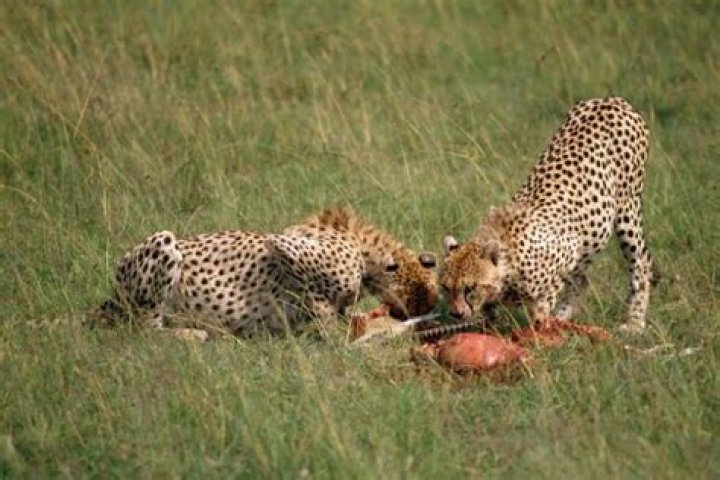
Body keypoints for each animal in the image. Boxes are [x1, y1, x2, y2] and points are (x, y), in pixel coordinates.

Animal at [93, 206, 438, 338]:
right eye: (419, 296)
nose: (422, 311)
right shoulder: (285, 245)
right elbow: (319, 304)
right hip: (163, 243)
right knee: (143, 329)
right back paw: (196, 334)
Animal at [440, 96, 657, 333]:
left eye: (470, 288)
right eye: (445, 287)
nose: (455, 313)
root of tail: (611, 100)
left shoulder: (563, 261)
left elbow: (540, 312)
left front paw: (539, 335)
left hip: (628, 208)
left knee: (640, 266)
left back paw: (634, 323)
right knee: (582, 281)